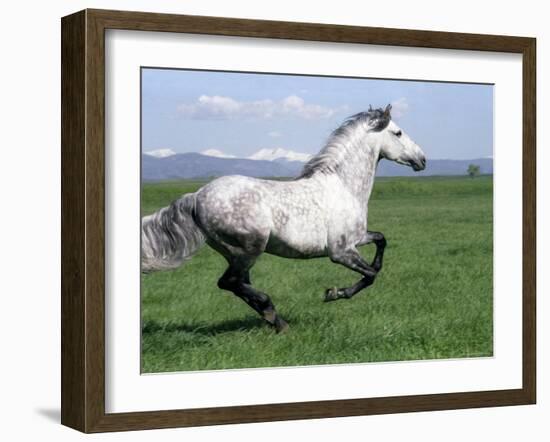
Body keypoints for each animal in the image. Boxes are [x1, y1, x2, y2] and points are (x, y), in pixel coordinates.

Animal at [141, 104, 426, 332]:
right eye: (398, 133)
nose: (422, 160)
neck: (344, 186)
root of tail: (198, 195)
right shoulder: (341, 251)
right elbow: (370, 275)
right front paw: (333, 293)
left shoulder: (357, 238)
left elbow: (381, 241)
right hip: (248, 249)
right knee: (229, 282)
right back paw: (274, 316)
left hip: (234, 253)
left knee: (238, 284)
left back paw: (272, 318)